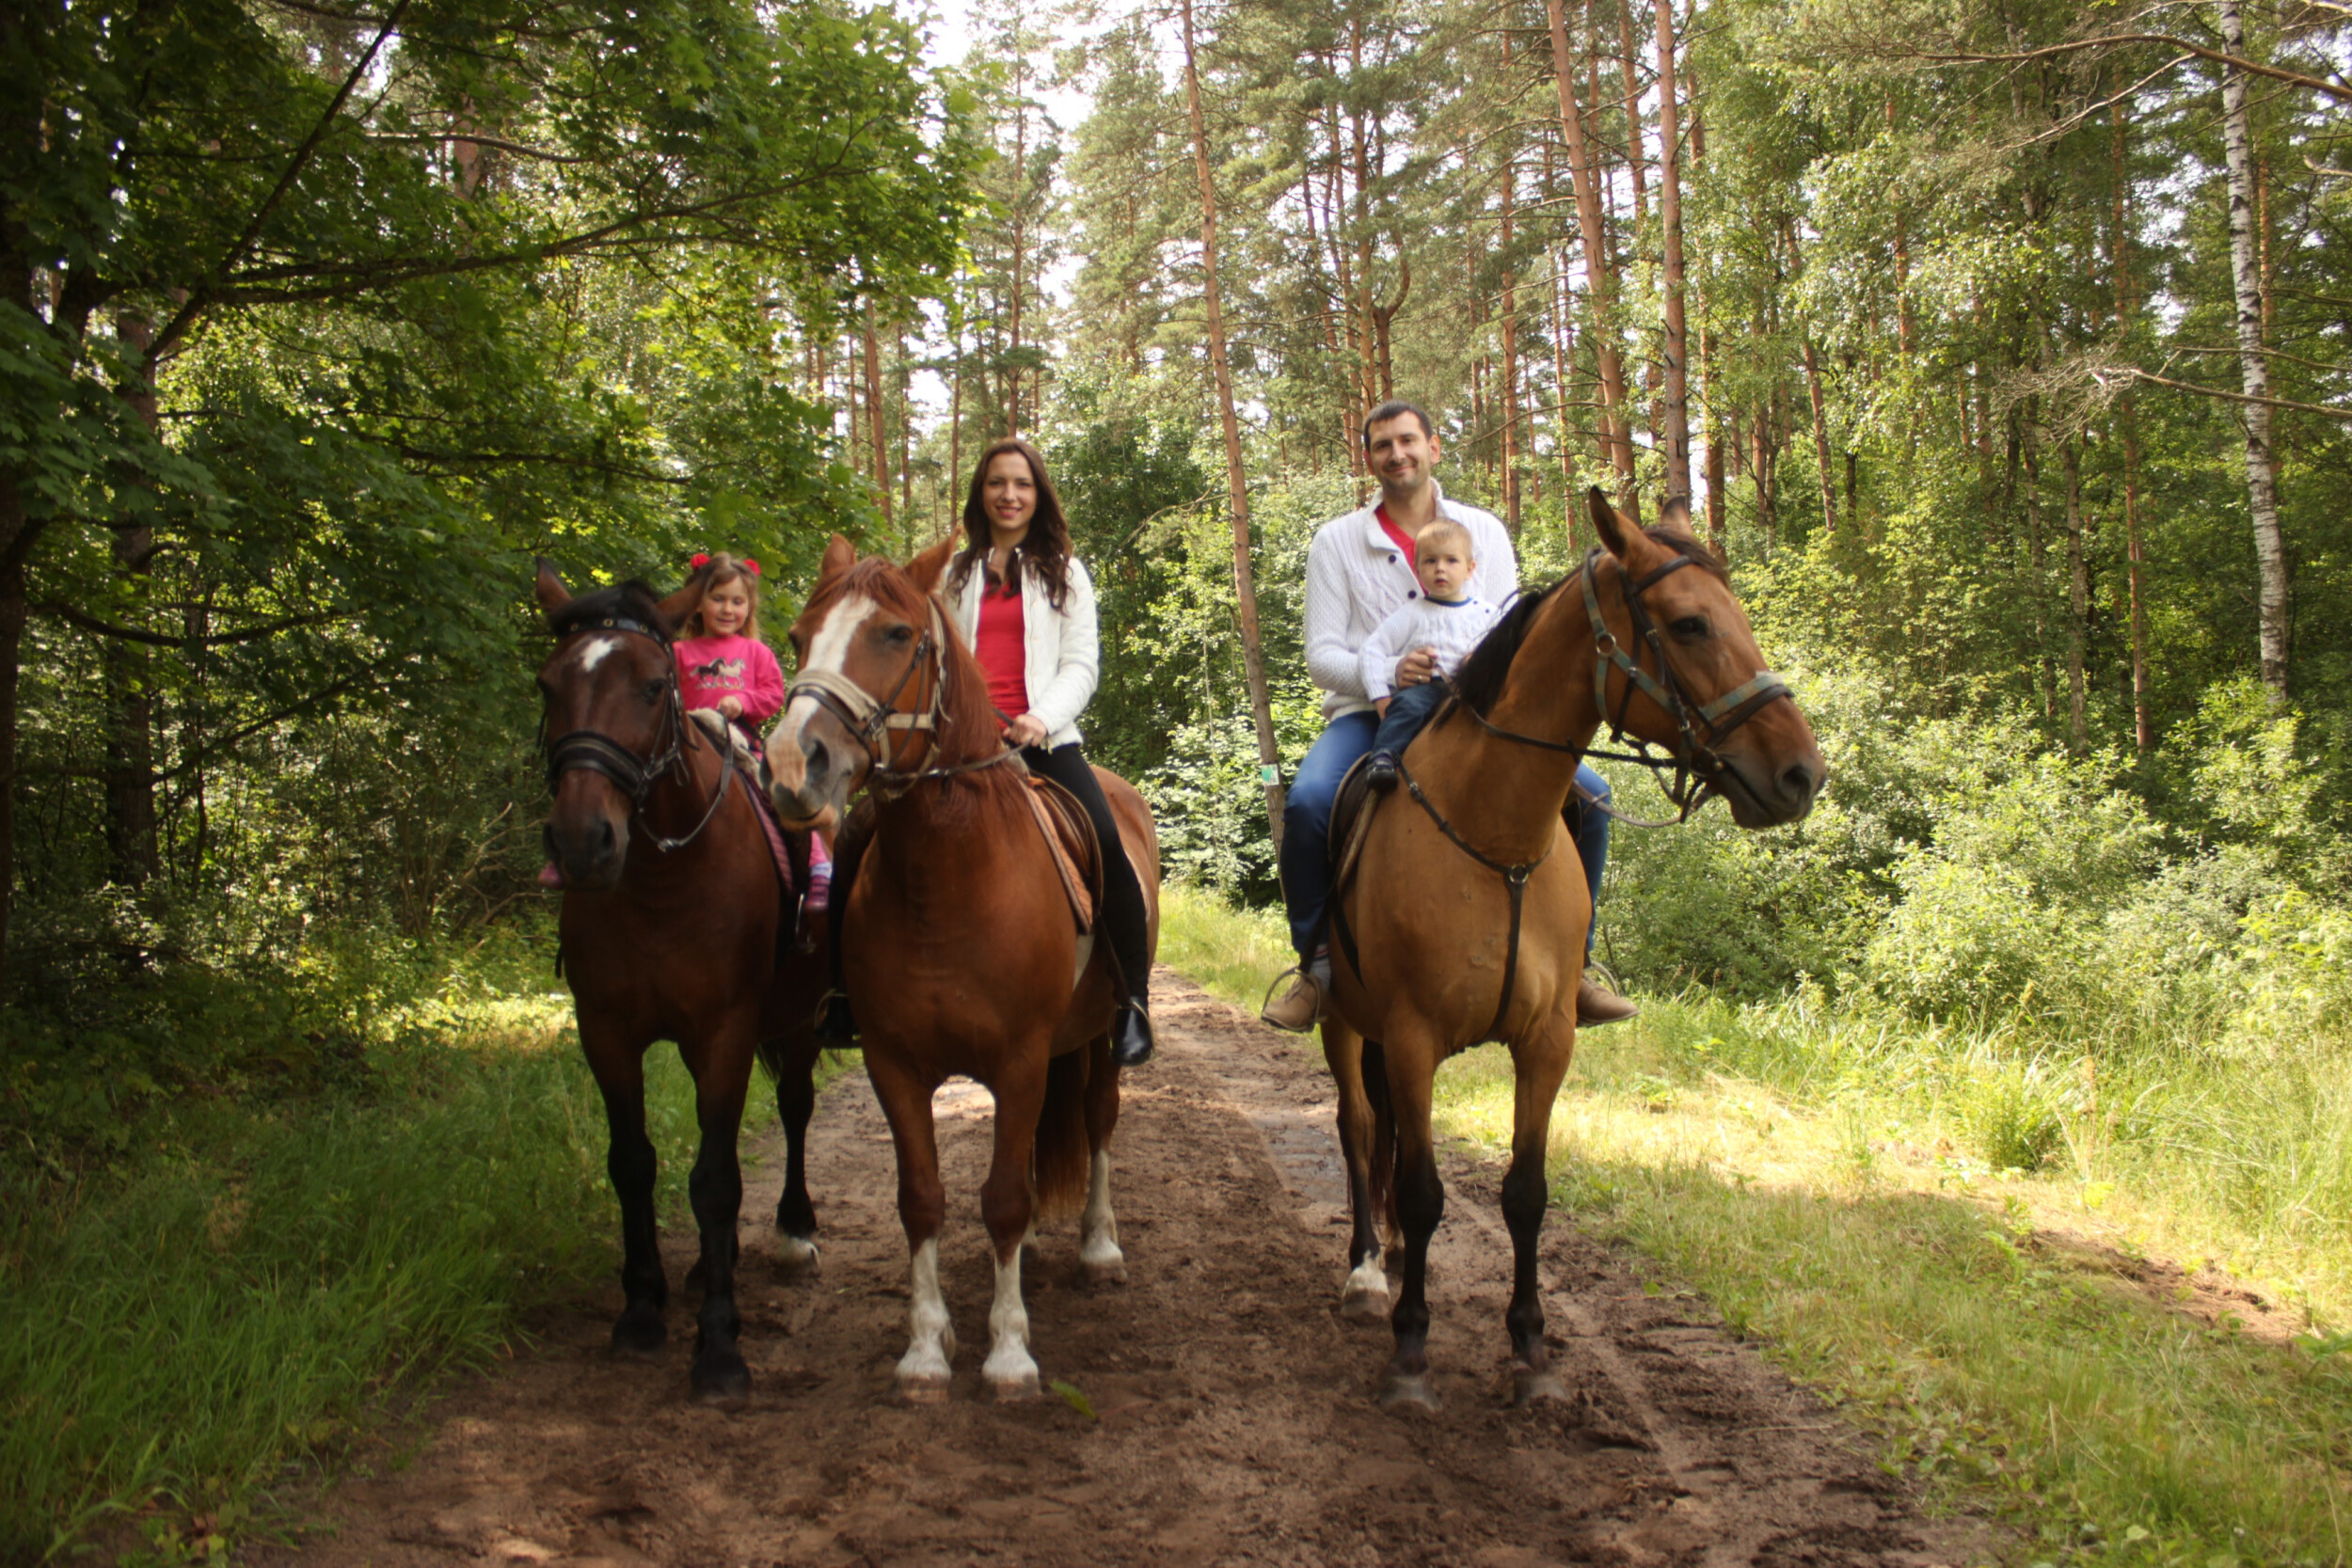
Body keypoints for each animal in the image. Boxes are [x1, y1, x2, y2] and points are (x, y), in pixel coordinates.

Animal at [533, 563, 837, 1410]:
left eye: (650, 684)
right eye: (548, 685)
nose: (582, 840)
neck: (662, 878)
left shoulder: (725, 1030)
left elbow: (716, 1180)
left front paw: (720, 1348)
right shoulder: (606, 1032)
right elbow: (634, 1162)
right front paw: (642, 1306)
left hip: (793, 1021)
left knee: (793, 1108)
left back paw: (792, 1229)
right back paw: (710, 1262)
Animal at [767, 533, 1162, 1401]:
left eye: (896, 634)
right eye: (799, 636)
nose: (791, 764)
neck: (946, 875)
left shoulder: (1018, 1060)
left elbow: (1005, 1197)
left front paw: (1009, 1354)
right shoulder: (894, 1063)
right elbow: (923, 1198)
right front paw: (925, 1348)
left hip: (1097, 1043)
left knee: (1099, 1124)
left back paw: (1098, 1247)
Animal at [1327, 486, 1816, 1410]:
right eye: (1690, 623)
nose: (1802, 773)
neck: (1494, 832)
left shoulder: (1547, 1040)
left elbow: (1526, 1192)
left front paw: (1530, 1345)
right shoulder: (1410, 1039)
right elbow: (1422, 1188)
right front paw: (1411, 1349)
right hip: (1343, 1025)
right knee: (1359, 1127)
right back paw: (1369, 1266)